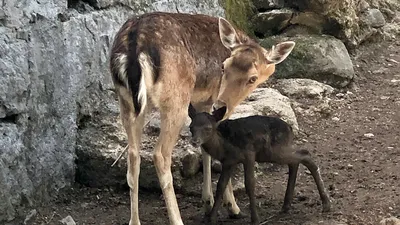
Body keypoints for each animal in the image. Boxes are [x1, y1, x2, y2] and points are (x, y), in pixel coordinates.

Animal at [108, 11, 296, 225]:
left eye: (252, 78)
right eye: (223, 66)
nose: (221, 104)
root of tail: (134, 45)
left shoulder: (203, 104)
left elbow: (206, 147)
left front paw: (208, 201)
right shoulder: (214, 102)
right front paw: (232, 207)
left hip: (128, 101)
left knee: (133, 156)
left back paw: (135, 221)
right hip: (175, 101)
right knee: (160, 154)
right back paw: (177, 219)